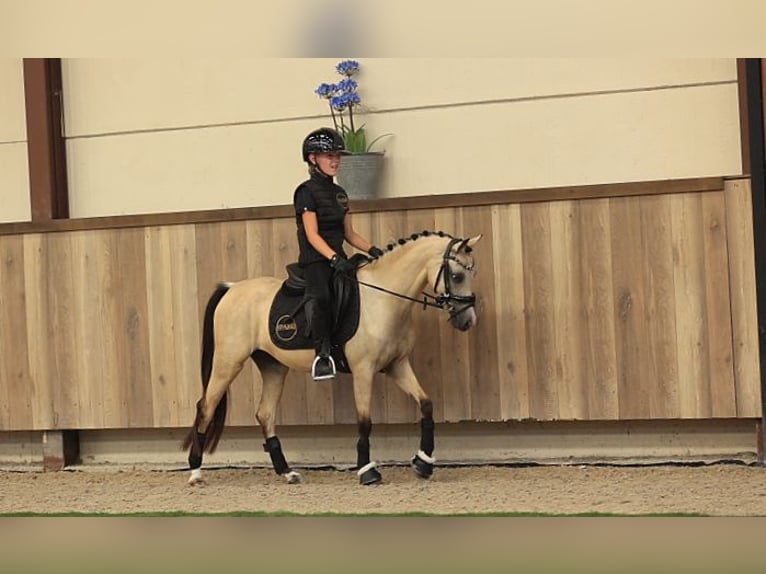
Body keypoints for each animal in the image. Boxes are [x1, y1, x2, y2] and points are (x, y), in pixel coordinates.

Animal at [182, 230, 482, 486]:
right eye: (457, 276)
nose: (468, 321)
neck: (382, 300)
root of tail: (231, 288)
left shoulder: (397, 365)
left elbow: (427, 405)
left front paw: (424, 463)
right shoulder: (364, 370)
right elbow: (365, 421)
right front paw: (368, 472)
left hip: (273, 366)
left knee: (265, 413)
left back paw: (287, 473)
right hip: (228, 362)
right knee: (206, 407)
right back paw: (195, 473)